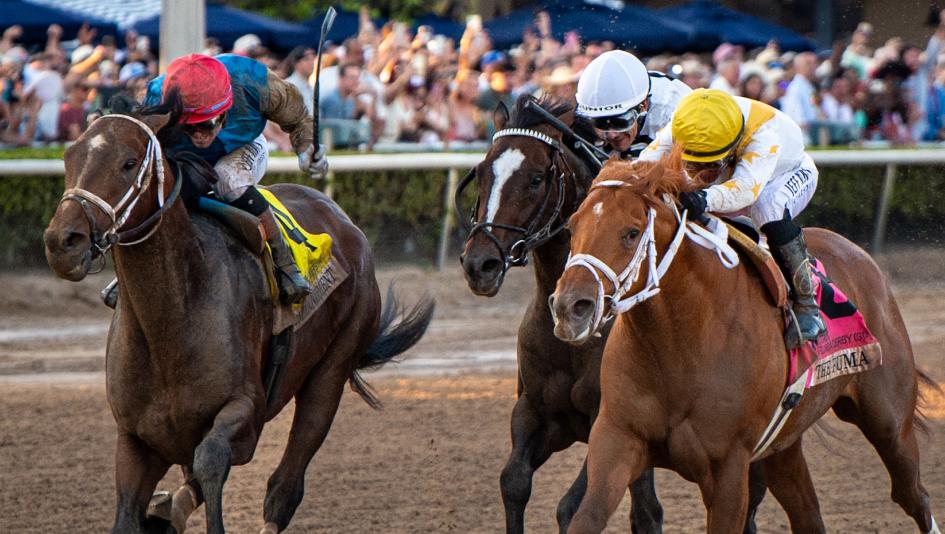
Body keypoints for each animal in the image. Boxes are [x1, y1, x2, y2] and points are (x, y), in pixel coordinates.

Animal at [42, 97, 434, 534]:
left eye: (128, 163)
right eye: (69, 156)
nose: (62, 242)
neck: (169, 324)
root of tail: (342, 219)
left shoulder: (247, 412)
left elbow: (212, 460)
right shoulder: (136, 437)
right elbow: (132, 511)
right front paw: (163, 509)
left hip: (331, 371)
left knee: (284, 486)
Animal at [458, 95, 769, 533]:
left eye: (536, 178)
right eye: (483, 172)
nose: (479, 264)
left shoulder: (604, 422)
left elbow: (569, 506)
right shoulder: (536, 411)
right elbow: (513, 482)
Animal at [550, 152, 940, 534]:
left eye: (631, 233)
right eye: (572, 228)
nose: (570, 307)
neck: (681, 344)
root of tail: (861, 257)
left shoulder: (728, 469)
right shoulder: (618, 440)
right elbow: (586, 516)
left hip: (890, 423)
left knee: (913, 495)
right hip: (783, 448)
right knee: (809, 516)